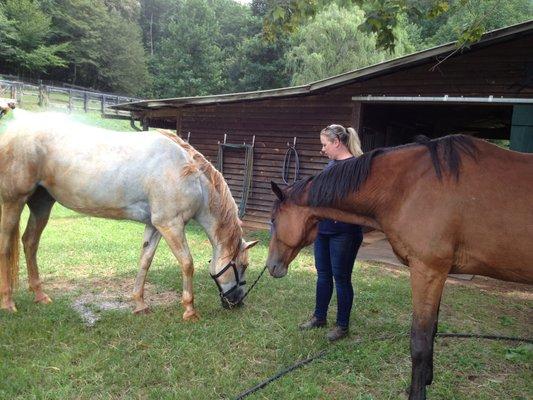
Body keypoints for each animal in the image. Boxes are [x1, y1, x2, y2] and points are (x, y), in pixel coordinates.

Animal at [0, 105, 258, 318]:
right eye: (243, 265)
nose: (238, 302)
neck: (188, 174)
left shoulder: (155, 226)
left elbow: (145, 261)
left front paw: (140, 304)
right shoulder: (171, 225)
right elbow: (187, 263)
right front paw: (189, 310)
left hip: (42, 203)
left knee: (30, 242)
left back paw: (40, 296)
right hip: (14, 201)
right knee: (6, 245)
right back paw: (8, 303)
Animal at [268, 135, 528, 400]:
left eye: (274, 220)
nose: (271, 266)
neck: (411, 186)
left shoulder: (427, 271)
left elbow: (420, 339)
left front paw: (417, 393)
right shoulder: (439, 274)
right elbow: (432, 330)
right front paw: (425, 381)